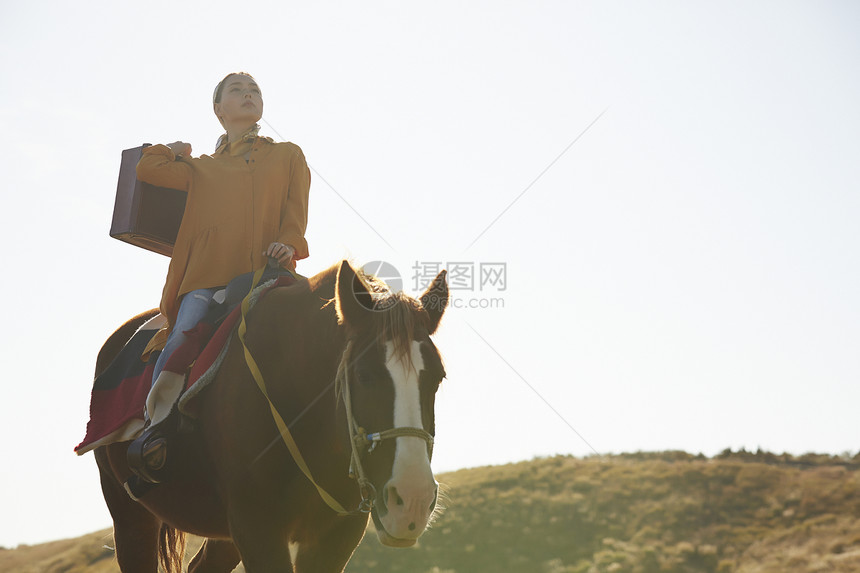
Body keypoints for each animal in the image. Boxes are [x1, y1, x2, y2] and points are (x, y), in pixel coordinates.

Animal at [94, 260, 450, 572]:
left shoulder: (335, 535)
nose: (413, 500)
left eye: (438, 377)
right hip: (131, 517)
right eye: (364, 375)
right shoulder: (257, 529)